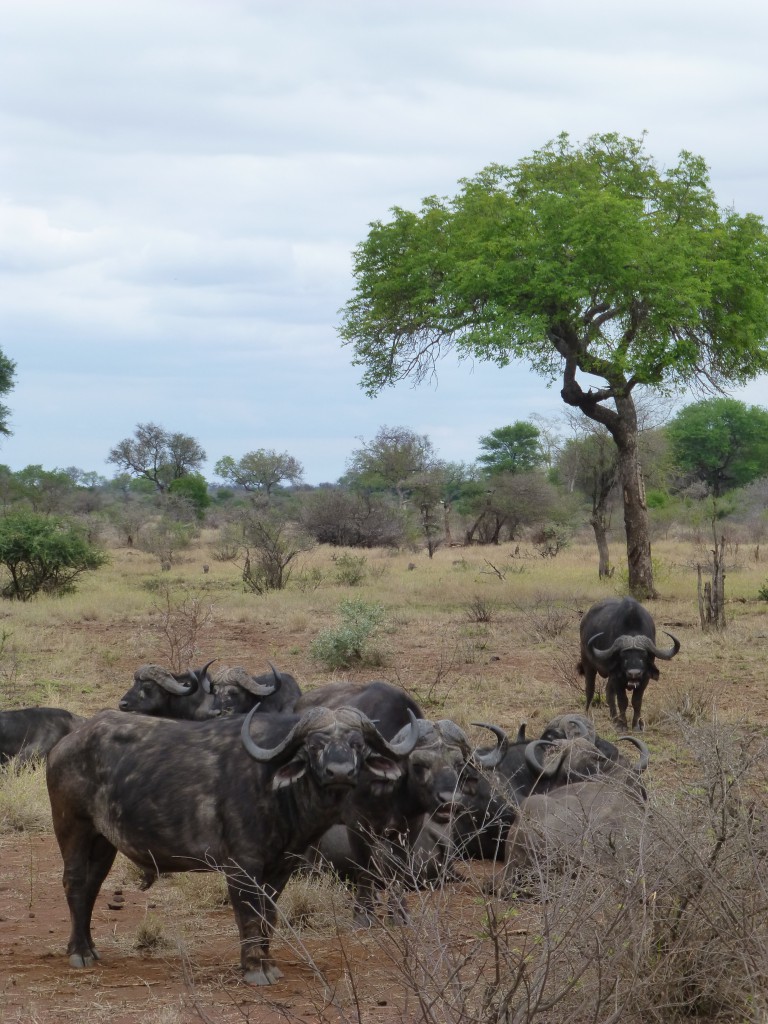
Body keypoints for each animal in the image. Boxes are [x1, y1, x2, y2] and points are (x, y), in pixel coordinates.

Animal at [46, 704, 421, 983]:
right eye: (314, 745)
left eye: (358, 744)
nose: (339, 771)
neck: (274, 789)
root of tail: (66, 742)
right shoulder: (242, 866)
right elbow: (248, 914)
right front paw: (255, 968)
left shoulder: (282, 866)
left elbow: (268, 914)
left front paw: (266, 961)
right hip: (72, 827)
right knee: (75, 882)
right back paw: (79, 952)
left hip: (103, 842)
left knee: (92, 886)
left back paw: (90, 947)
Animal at [581, 598, 684, 733]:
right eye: (623, 657)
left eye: (643, 656)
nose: (634, 673)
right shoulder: (617, 678)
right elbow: (623, 701)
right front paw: (623, 725)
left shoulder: (645, 679)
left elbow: (636, 701)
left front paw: (636, 725)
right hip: (588, 664)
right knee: (590, 689)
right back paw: (588, 715)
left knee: (608, 693)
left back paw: (614, 719)